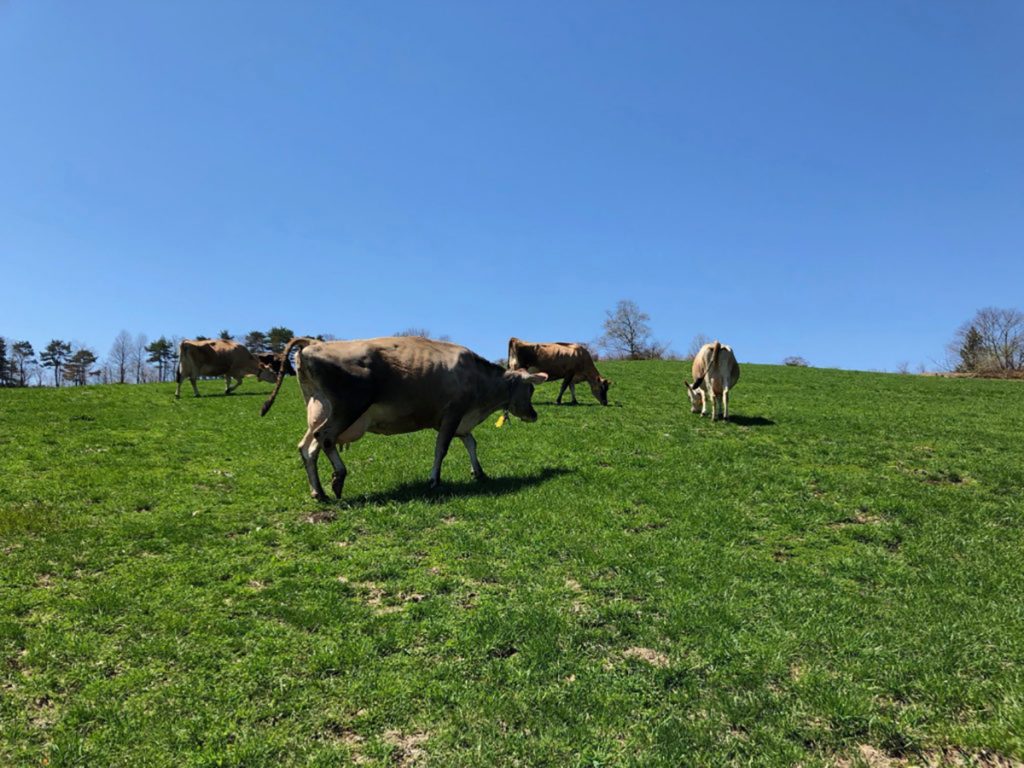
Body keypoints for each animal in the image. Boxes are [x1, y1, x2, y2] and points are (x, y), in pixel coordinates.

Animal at [264, 335, 548, 501]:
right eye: (530, 389)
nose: (533, 415)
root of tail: (314, 344)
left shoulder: (462, 421)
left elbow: (471, 443)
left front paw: (478, 472)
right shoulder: (453, 413)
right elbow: (441, 449)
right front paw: (434, 480)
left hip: (319, 410)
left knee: (307, 447)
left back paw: (318, 492)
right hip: (348, 408)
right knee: (325, 439)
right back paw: (338, 479)